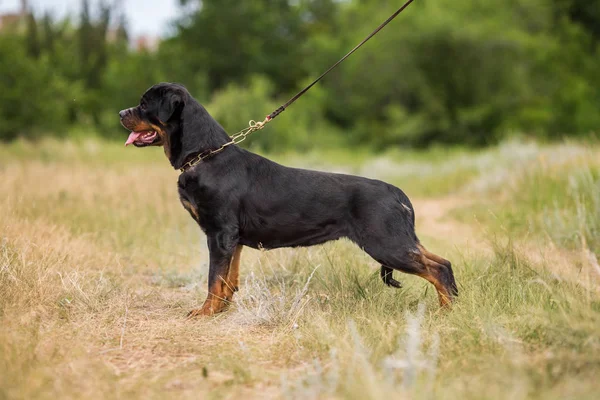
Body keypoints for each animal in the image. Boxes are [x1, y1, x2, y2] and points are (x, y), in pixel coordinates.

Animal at [120, 83, 460, 318]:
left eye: (144, 104)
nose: (121, 113)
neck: (204, 155)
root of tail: (397, 193)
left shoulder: (219, 233)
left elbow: (214, 278)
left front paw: (204, 312)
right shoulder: (233, 239)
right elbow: (229, 279)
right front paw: (221, 310)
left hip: (385, 243)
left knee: (436, 269)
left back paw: (446, 312)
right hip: (397, 240)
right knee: (443, 261)